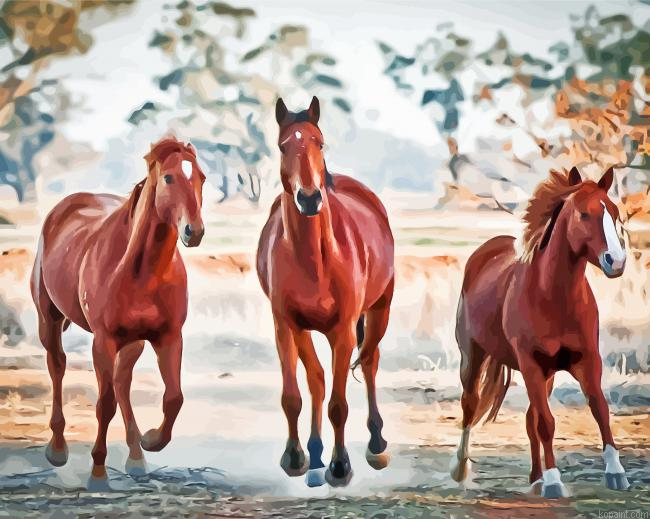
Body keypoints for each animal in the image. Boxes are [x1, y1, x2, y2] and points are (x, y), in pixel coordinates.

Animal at [30, 136, 206, 490]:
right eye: (169, 178)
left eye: (202, 178)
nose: (194, 231)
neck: (142, 272)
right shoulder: (104, 340)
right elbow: (105, 404)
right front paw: (98, 474)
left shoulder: (168, 338)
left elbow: (174, 398)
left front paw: (151, 439)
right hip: (50, 320)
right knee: (58, 367)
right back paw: (57, 449)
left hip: (133, 342)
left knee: (123, 381)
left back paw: (137, 456)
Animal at [256, 97, 395, 487]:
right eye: (282, 146)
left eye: (320, 143)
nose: (309, 198)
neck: (314, 259)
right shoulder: (286, 325)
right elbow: (296, 394)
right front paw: (296, 457)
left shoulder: (343, 329)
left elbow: (339, 404)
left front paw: (341, 465)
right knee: (317, 378)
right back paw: (315, 452)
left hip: (379, 311)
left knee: (370, 361)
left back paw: (376, 444)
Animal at [449, 167, 630, 497]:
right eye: (584, 214)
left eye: (613, 211)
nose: (616, 261)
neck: (553, 297)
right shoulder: (531, 363)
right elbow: (546, 423)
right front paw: (555, 482)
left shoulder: (586, 361)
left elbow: (599, 409)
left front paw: (615, 472)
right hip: (473, 357)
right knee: (470, 405)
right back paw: (460, 469)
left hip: (545, 375)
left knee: (529, 418)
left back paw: (535, 479)